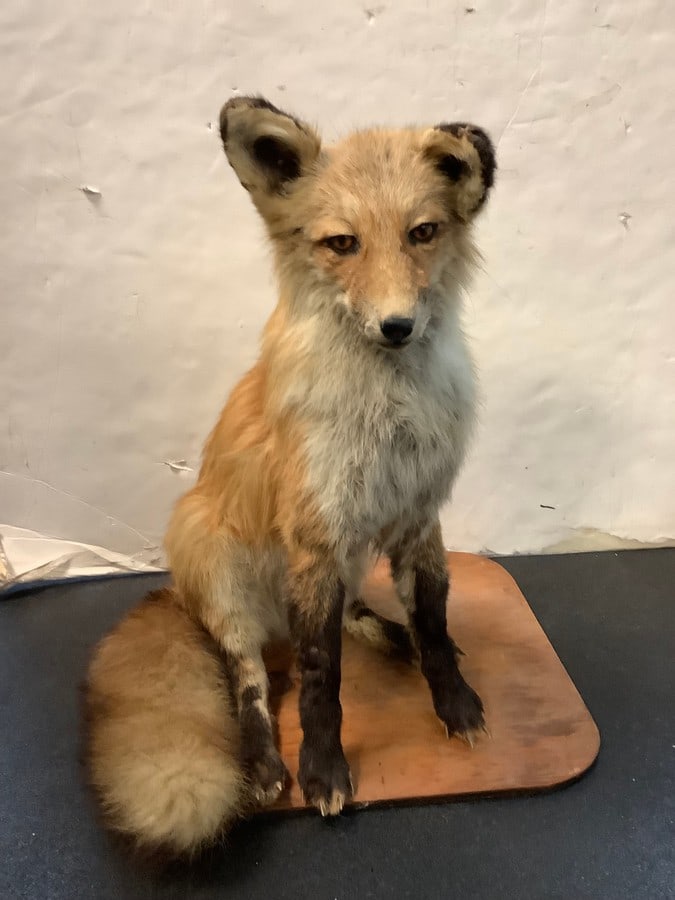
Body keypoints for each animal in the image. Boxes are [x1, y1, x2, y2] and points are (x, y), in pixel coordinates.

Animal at [83, 95, 496, 859]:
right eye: (342, 244)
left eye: (422, 233)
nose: (396, 325)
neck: (387, 415)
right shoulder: (314, 533)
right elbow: (318, 679)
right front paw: (322, 772)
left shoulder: (417, 515)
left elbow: (430, 622)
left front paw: (452, 698)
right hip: (216, 562)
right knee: (249, 675)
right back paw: (264, 763)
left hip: (347, 560)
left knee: (355, 617)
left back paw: (391, 636)